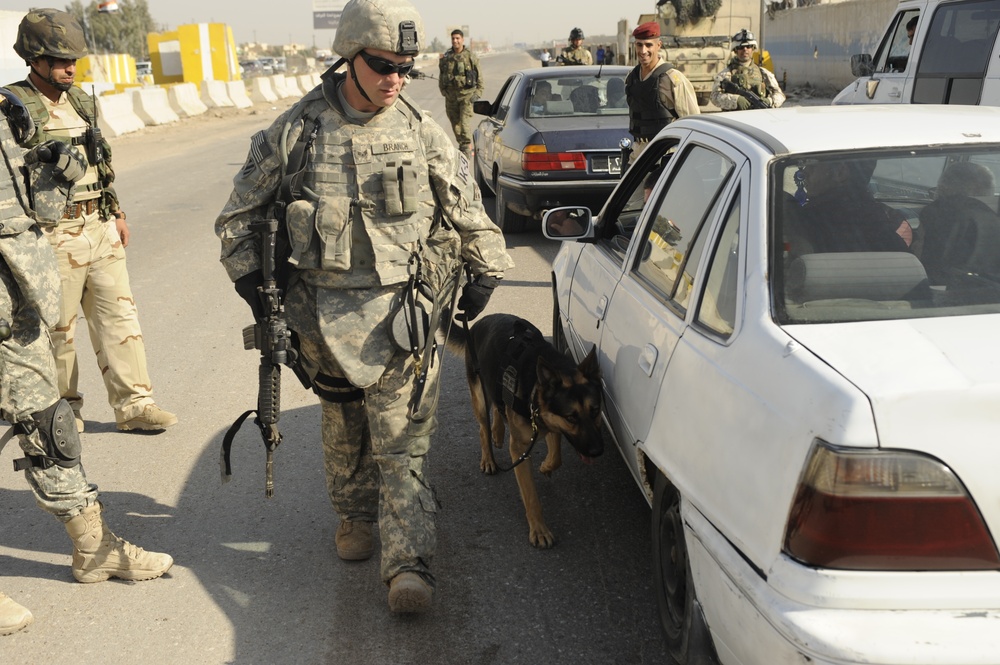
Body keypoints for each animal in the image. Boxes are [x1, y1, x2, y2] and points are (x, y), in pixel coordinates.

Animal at [448, 312, 600, 544]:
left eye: (596, 411)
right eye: (571, 417)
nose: (597, 451)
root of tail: (480, 321)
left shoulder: (549, 422)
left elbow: (557, 457)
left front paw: (546, 467)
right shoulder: (520, 449)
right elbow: (531, 495)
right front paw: (539, 530)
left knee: (499, 407)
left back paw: (498, 432)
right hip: (480, 397)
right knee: (483, 428)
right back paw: (488, 458)